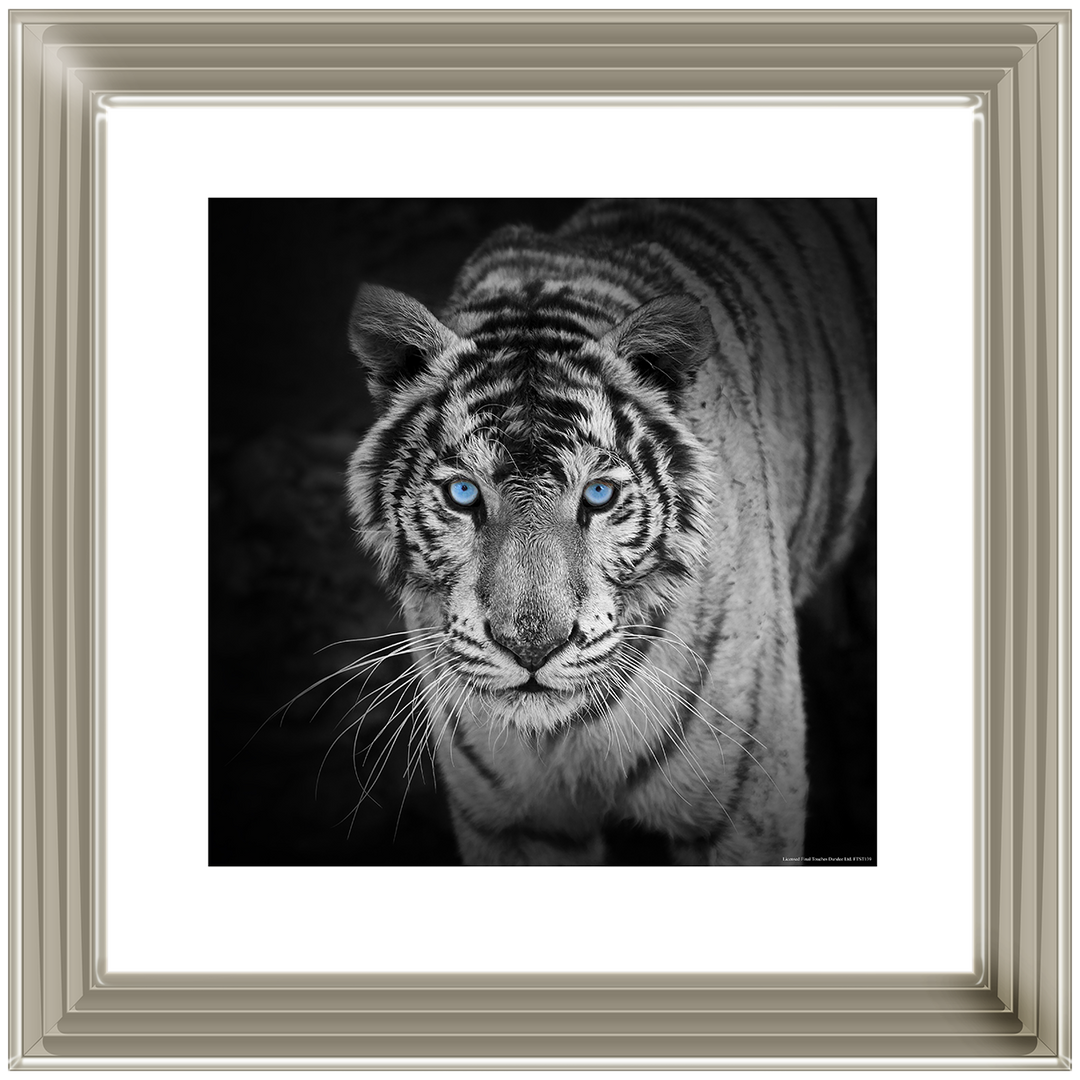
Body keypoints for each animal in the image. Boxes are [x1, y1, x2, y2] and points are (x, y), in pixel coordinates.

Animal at [344, 199, 875, 865]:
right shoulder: (513, 822)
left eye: (597, 495)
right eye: (463, 493)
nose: (532, 649)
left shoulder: (743, 810)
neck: (564, 735)